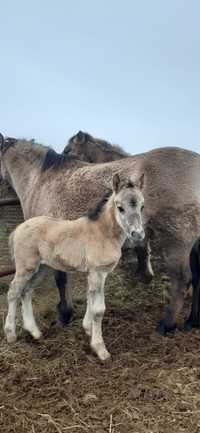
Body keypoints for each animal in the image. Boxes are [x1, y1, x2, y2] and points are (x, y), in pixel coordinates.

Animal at [4, 174, 145, 360]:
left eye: (142, 206)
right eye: (120, 207)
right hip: (25, 267)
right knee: (13, 292)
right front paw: (100, 349)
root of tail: (18, 228)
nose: (138, 234)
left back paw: (35, 332)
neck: (102, 233)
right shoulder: (97, 273)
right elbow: (99, 309)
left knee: (26, 291)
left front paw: (87, 329)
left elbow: (90, 299)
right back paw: (10, 334)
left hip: (40, 268)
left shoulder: (97, 274)